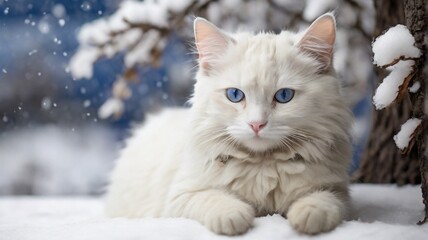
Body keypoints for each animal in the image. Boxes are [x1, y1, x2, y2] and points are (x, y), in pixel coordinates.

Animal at [105, 12, 352, 234]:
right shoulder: (180, 197)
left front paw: (308, 215)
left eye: (284, 96)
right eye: (235, 95)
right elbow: (214, 199)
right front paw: (234, 217)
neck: (262, 166)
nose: (257, 124)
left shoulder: (337, 189)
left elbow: (324, 200)